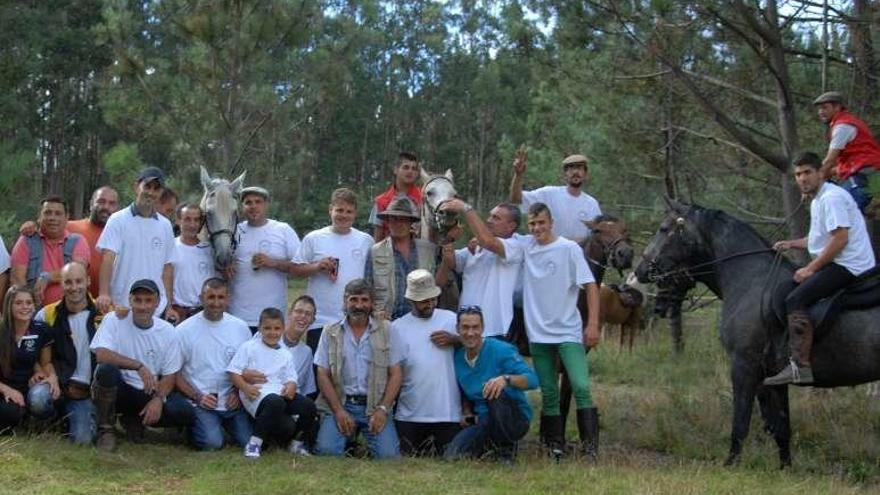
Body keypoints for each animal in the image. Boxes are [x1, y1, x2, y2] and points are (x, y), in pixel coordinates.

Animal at [636, 200, 880, 466]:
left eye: (663, 228)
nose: (640, 271)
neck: (750, 280)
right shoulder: (770, 377)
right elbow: (781, 426)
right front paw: (785, 468)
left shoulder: (744, 365)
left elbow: (741, 420)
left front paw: (731, 463)